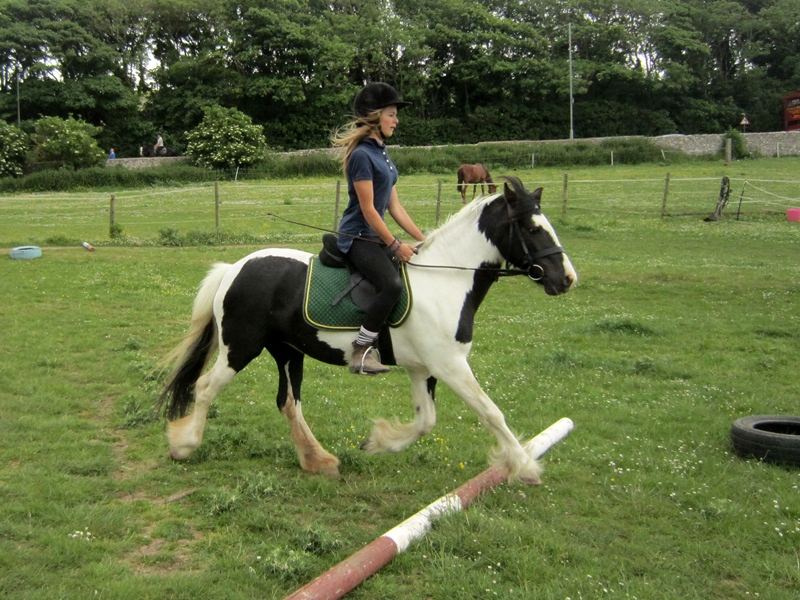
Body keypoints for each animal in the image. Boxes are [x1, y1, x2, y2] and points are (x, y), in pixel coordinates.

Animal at [158, 176, 577, 485]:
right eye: (532, 228)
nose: (567, 279)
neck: (444, 281)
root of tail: (233, 268)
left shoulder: (422, 369)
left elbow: (425, 421)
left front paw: (378, 442)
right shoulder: (450, 366)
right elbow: (491, 413)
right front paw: (525, 466)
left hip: (289, 350)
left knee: (289, 402)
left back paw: (319, 461)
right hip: (241, 347)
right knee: (206, 388)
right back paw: (185, 446)